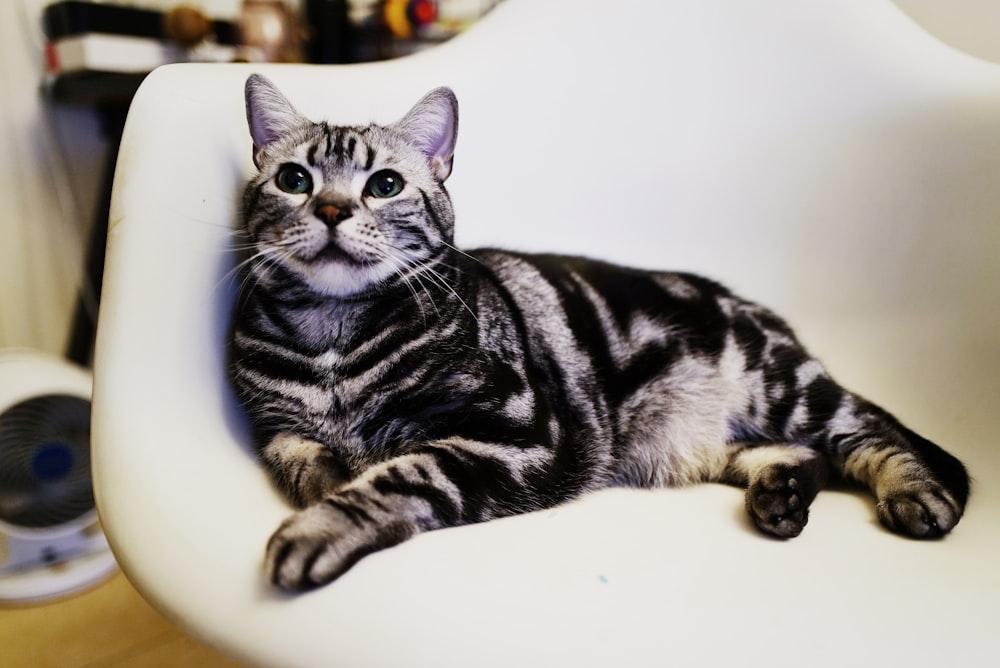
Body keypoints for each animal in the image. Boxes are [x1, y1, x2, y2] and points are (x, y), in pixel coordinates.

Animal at [229, 75, 968, 592]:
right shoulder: (279, 431)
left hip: (786, 387)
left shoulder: (517, 436)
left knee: (871, 430)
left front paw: (322, 526)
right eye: (295, 179)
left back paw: (917, 492)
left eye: (384, 185)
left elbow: (400, 476)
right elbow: (307, 463)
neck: (334, 335)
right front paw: (331, 484)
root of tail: (755, 306)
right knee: (798, 454)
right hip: (695, 443)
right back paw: (779, 495)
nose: (331, 209)